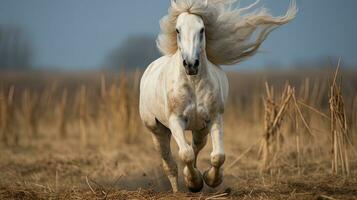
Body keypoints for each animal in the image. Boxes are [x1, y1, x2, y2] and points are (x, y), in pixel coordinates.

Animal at [138, 0, 294, 192]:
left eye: (202, 29)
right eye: (178, 30)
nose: (191, 64)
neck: (193, 83)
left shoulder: (214, 118)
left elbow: (217, 155)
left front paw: (208, 180)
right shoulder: (175, 121)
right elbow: (186, 154)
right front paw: (194, 183)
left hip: (200, 128)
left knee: (196, 146)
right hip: (157, 129)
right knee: (169, 162)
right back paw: (177, 190)